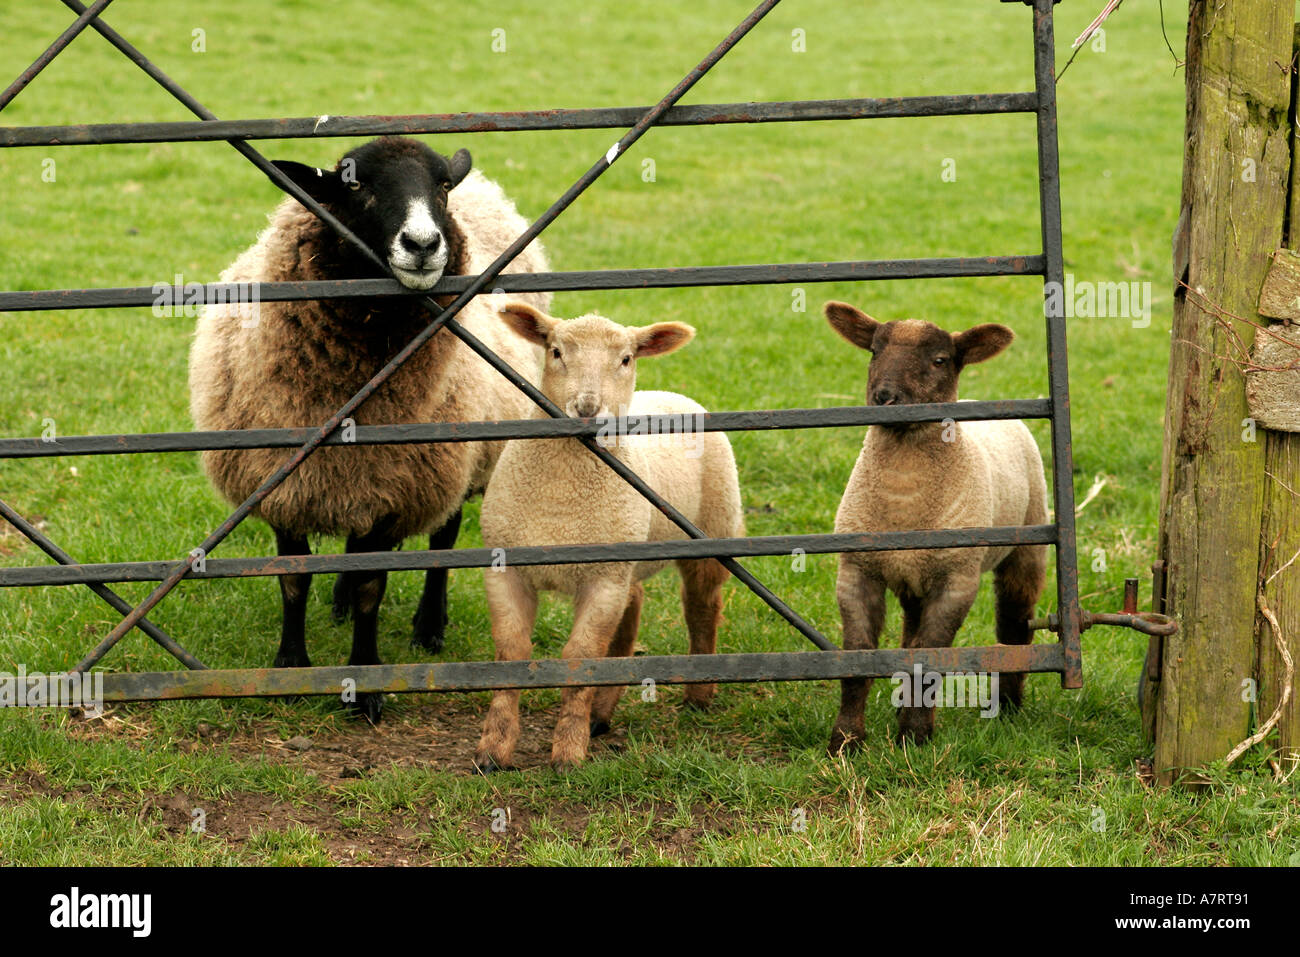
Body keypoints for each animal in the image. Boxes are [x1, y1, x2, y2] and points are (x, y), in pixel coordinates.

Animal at [188, 136, 550, 722]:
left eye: (441, 187)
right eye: (355, 185)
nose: (424, 244)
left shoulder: (397, 488)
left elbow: (371, 587)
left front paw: (367, 680)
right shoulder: (286, 481)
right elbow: (294, 579)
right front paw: (291, 664)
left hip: (456, 459)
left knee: (443, 538)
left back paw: (429, 626)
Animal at [473, 302, 744, 771]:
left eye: (626, 359)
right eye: (556, 351)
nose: (586, 406)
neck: (562, 501)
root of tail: (672, 394)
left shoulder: (603, 580)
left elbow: (580, 657)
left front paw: (567, 752)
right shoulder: (507, 570)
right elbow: (511, 652)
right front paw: (494, 749)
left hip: (711, 532)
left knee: (702, 608)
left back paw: (698, 693)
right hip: (627, 559)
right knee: (628, 623)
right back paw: (601, 715)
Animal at [822, 299, 1047, 750]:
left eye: (940, 360)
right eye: (874, 351)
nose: (884, 397)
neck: (905, 495)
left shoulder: (956, 580)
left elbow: (930, 655)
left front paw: (915, 735)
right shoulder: (857, 571)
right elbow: (861, 652)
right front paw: (846, 738)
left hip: (1028, 543)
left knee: (1015, 622)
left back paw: (1009, 707)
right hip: (914, 579)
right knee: (910, 633)